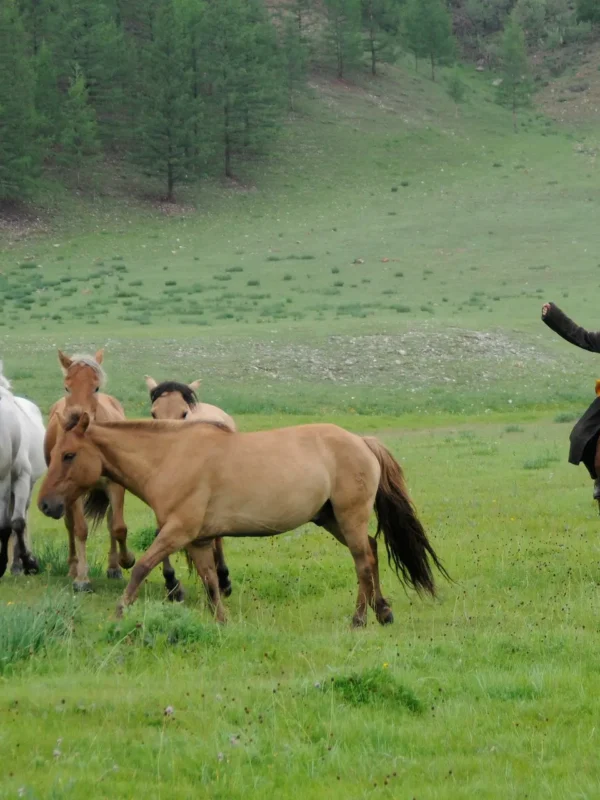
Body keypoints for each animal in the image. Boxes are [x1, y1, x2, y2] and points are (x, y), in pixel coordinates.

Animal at [38, 411, 449, 626]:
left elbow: (141, 567)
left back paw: (360, 619)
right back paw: (383, 611)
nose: (45, 505)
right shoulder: (199, 539)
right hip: (332, 519)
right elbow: (209, 580)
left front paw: (120, 612)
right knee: (373, 552)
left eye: (69, 455)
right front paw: (221, 620)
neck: (170, 457)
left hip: (349, 517)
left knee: (363, 562)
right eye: (54, 453)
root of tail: (362, 441)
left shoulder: (176, 532)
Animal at [44, 350, 136, 591]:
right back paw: (73, 567)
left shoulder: (115, 485)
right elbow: (80, 529)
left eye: (96, 387)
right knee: (70, 524)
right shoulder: (71, 488)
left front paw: (125, 561)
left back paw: (113, 567)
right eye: (67, 387)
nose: (77, 418)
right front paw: (82, 578)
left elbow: (118, 527)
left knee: (111, 521)